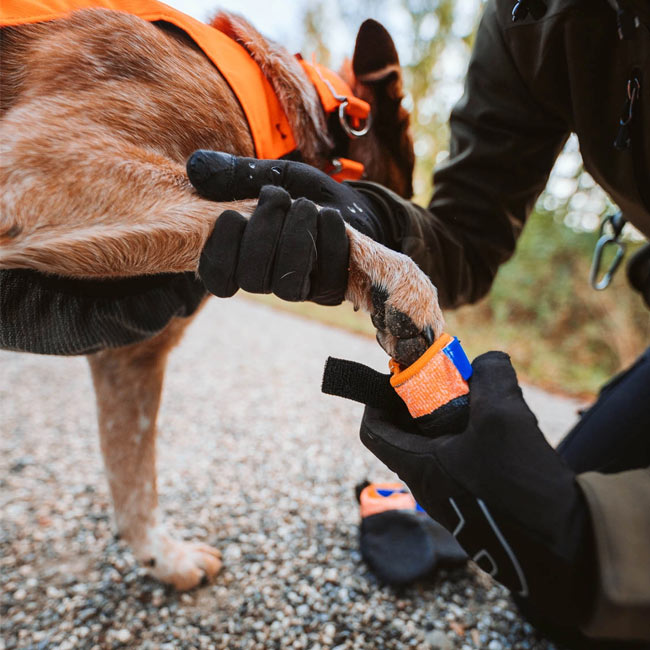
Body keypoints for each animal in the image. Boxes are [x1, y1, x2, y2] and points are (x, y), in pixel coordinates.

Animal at [0, 3, 440, 588]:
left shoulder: (130, 357)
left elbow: (132, 473)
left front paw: (162, 557)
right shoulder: (40, 160)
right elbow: (268, 206)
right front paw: (402, 282)